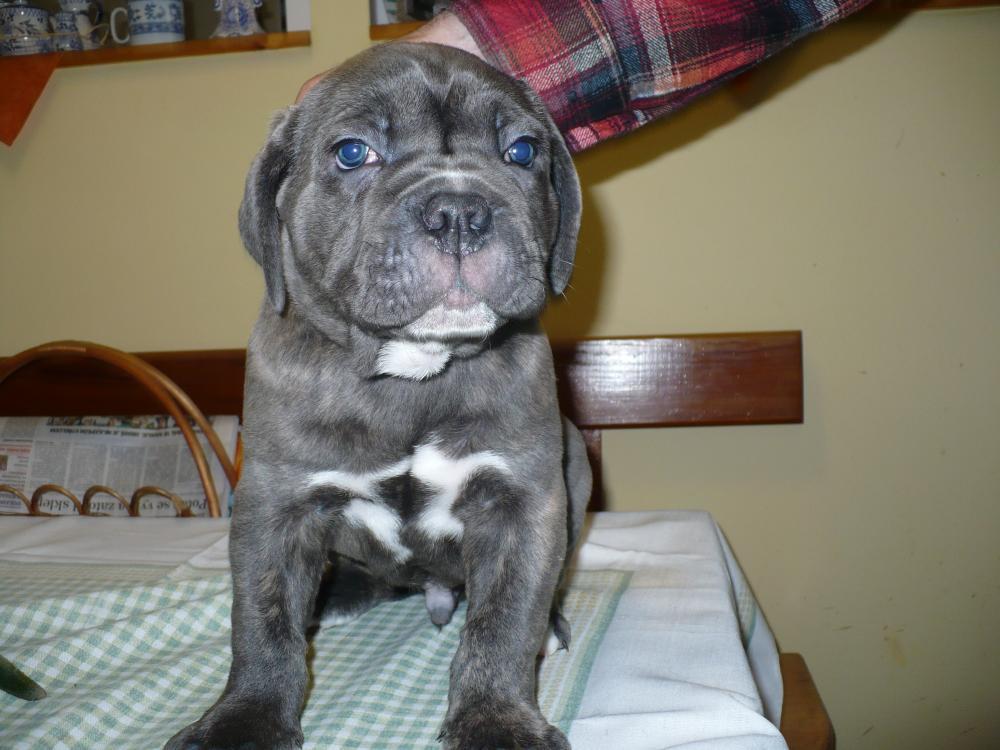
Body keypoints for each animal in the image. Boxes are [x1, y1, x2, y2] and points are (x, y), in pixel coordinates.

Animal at [166, 43, 590, 750]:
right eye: (352, 153)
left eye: (522, 152)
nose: (459, 212)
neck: (412, 372)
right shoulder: (273, 504)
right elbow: (262, 621)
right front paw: (243, 719)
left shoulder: (524, 502)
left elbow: (503, 623)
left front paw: (497, 721)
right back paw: (335, 594)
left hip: (577, 460)